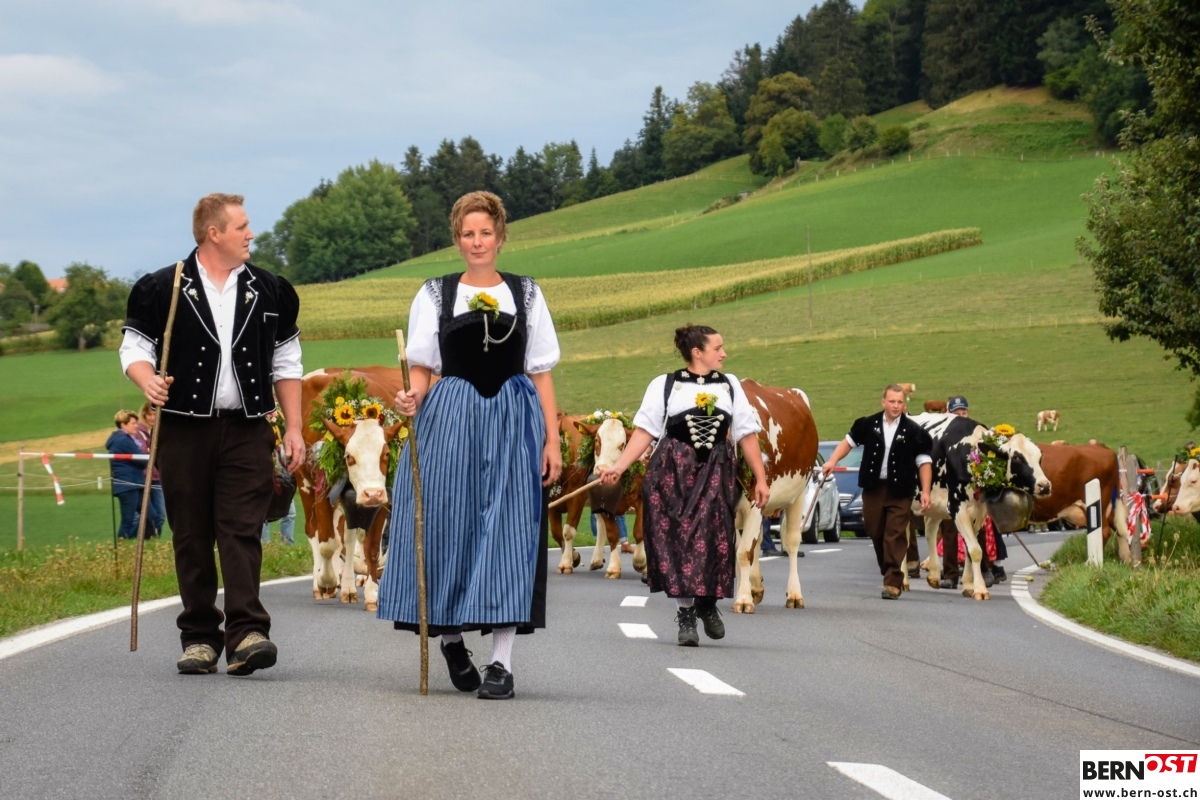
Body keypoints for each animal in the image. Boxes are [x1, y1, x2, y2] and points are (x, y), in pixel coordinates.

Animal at [297, 367, 406, 611]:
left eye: (386, 454)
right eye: (349, 456)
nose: (371, 493)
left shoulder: (383, 495)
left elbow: (371, 547)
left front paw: (373, 594)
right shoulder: (322, 492)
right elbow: (327, 543)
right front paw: (327, 581)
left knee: (349, 537)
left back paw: (348, 588)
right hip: (304, 484)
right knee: (313, 532)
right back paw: (321, 584)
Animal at [578, 417, 646, 579]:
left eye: (622, 445)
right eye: (597, 440)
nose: (602, 470)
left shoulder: (641, 499)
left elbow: (639, 531)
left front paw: (640, 562)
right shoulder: (604, 505)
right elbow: (612, 534)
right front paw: (614, 567)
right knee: (599, 524)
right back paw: (596, 558)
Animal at [731, 379, 818, 613]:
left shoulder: (754, 501)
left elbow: (743, 553)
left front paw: (743, 599)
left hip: (798, 495)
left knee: (792, 542)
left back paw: (795, 595)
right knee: (758, 540)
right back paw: (754, 586)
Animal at [910, 413, 1051, 600]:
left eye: (1040, 456)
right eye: (1016, 457)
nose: (1045, 486)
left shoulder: (979, 511)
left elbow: (970, 550)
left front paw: (969, 586)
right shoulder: (958, 508)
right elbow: (976, 550)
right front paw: (980, 589)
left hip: (933, 505)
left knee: (929, 531)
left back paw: (933, 575)